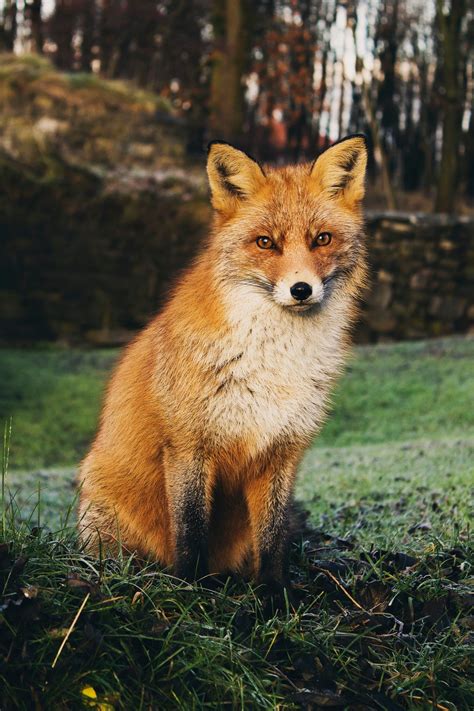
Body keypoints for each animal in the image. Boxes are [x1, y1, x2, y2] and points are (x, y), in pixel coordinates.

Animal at [78, 134, 368, 594]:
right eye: (265, 242)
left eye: (322, 239)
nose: (301, 289)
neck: (273, 362)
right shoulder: (188, 446)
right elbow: (191, 530)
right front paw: (191, 591)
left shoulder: (281, 452)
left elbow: (272, 538)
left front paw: (273, 596)